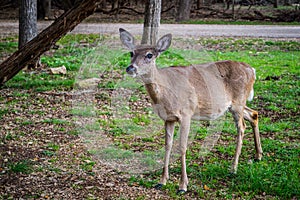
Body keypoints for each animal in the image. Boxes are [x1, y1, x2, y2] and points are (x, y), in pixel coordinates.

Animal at [118, 28, 262, 194]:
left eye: (149, 55)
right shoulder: (168, 118)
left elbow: (182, 147)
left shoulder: (186, 113)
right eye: (131, 53)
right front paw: (162, 181)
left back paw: (233, 168)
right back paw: (258, 155)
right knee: (254, 114)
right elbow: (167, 145)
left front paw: (183, 186)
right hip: (234, 105)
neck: (165, 94)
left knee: (241, 127)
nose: (131, 68)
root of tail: (253, 70)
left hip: (238, 101)